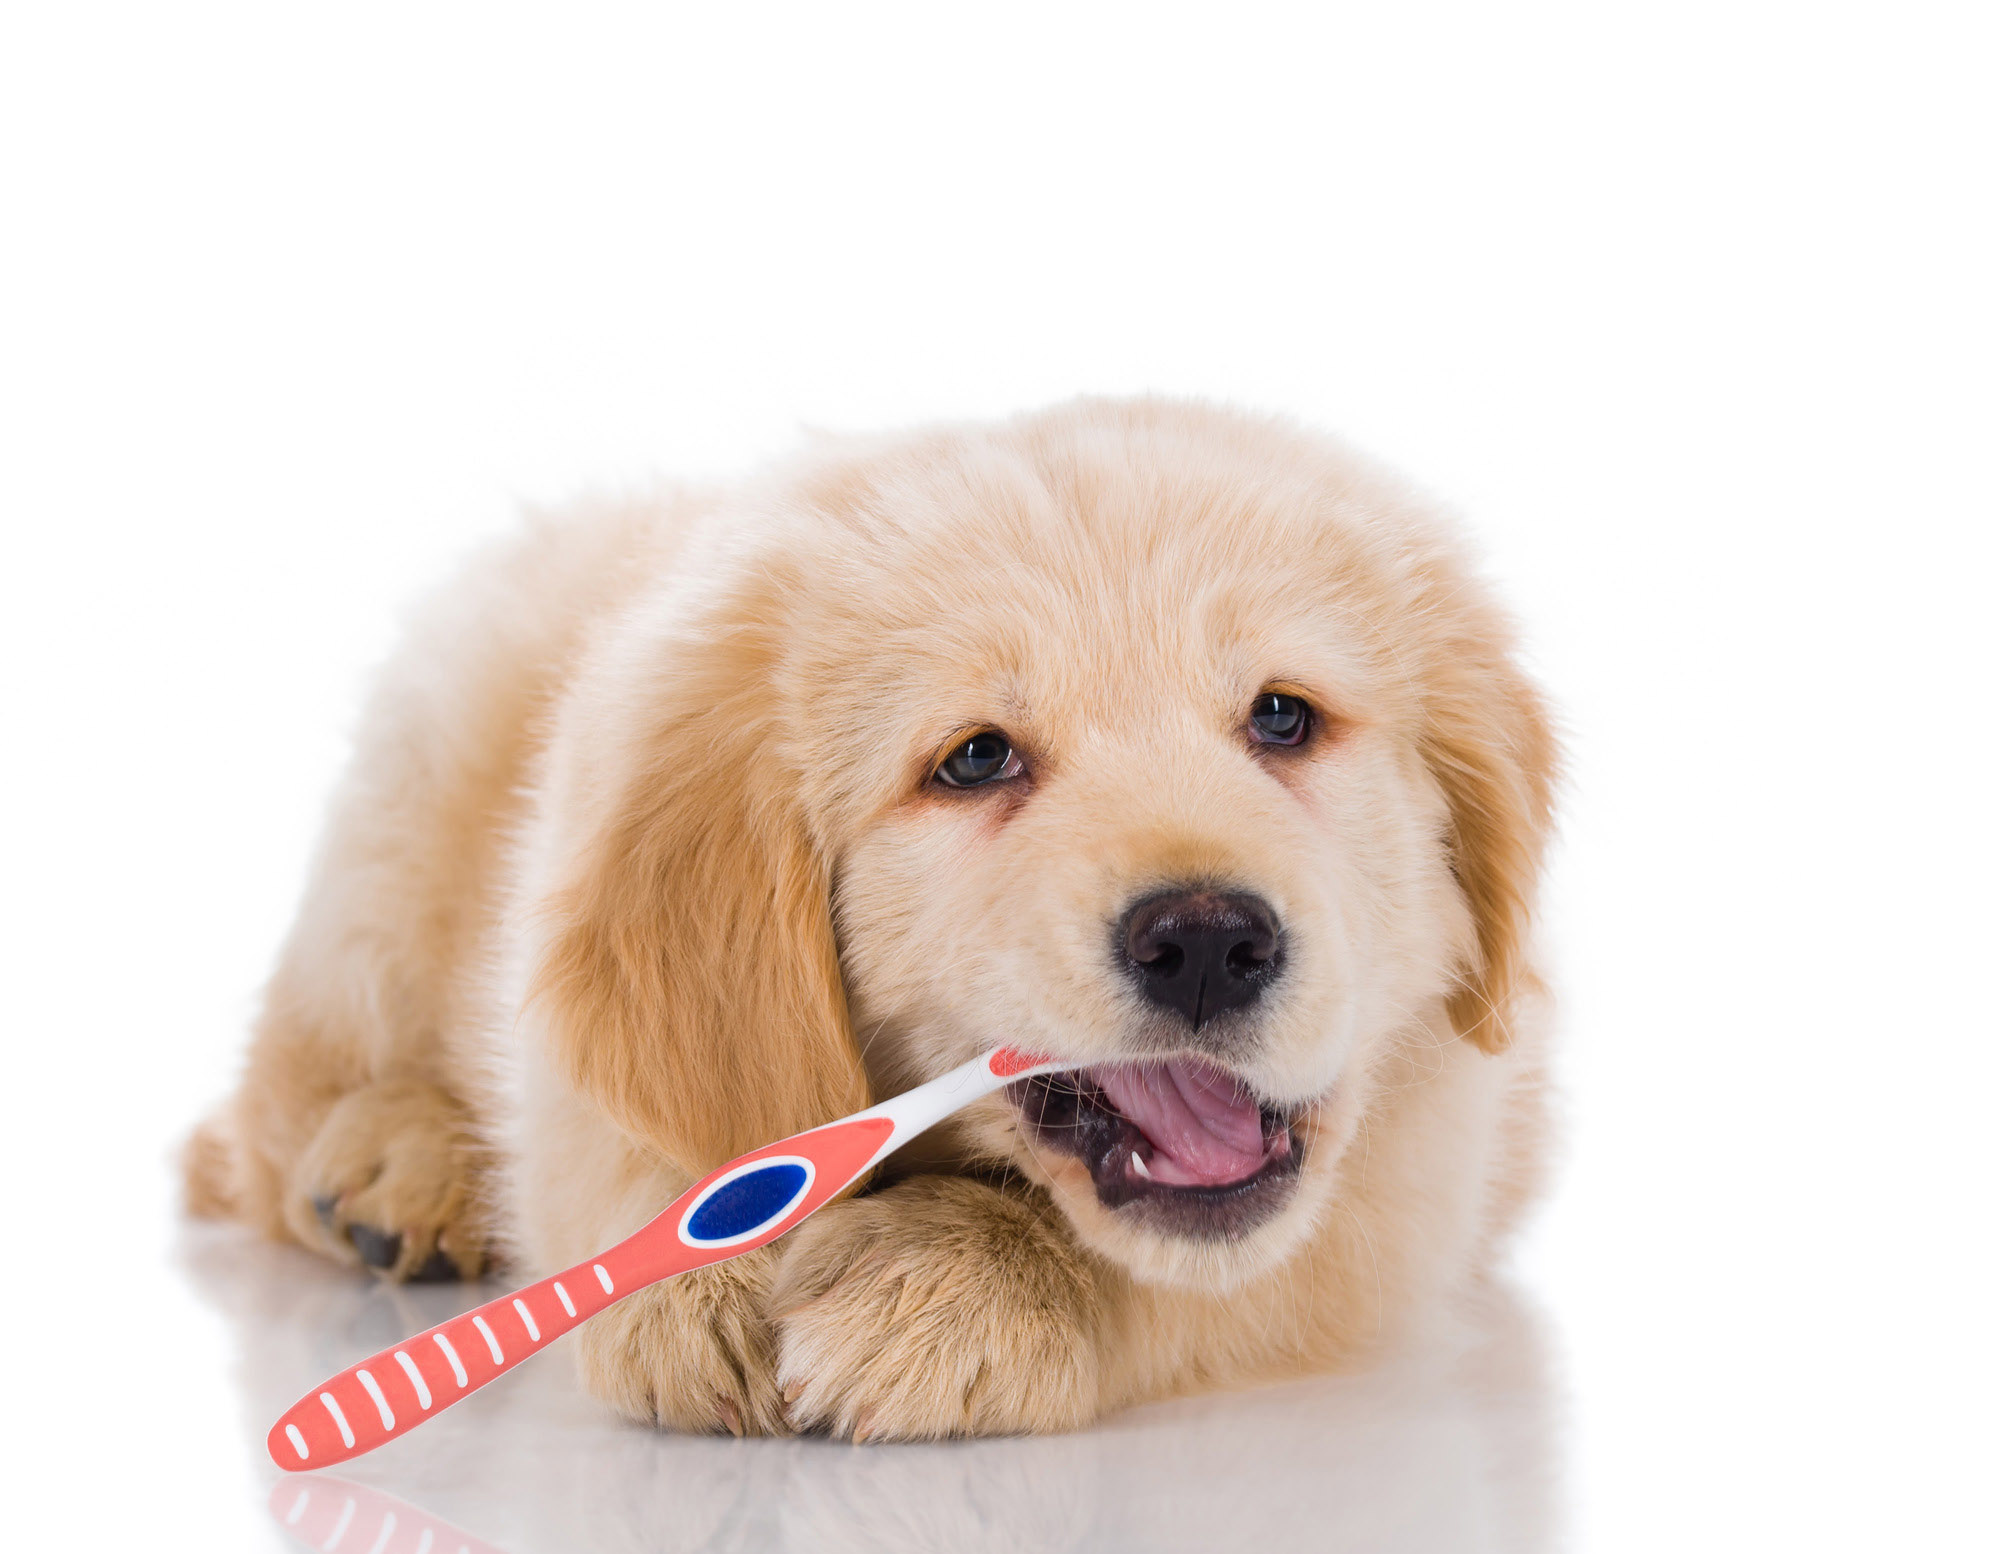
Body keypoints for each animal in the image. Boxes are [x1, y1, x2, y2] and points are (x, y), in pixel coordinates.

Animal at [185, 401, 1555, 1443]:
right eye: (975, 759)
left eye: (1281, 718)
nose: (1210, 943)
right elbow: (649, 1135)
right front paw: (696, 1278)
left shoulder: (1417, 1180)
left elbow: (1220, 1267)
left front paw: (958, 1283)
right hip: (402, 813)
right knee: (272, 1108)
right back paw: (396, 1163)